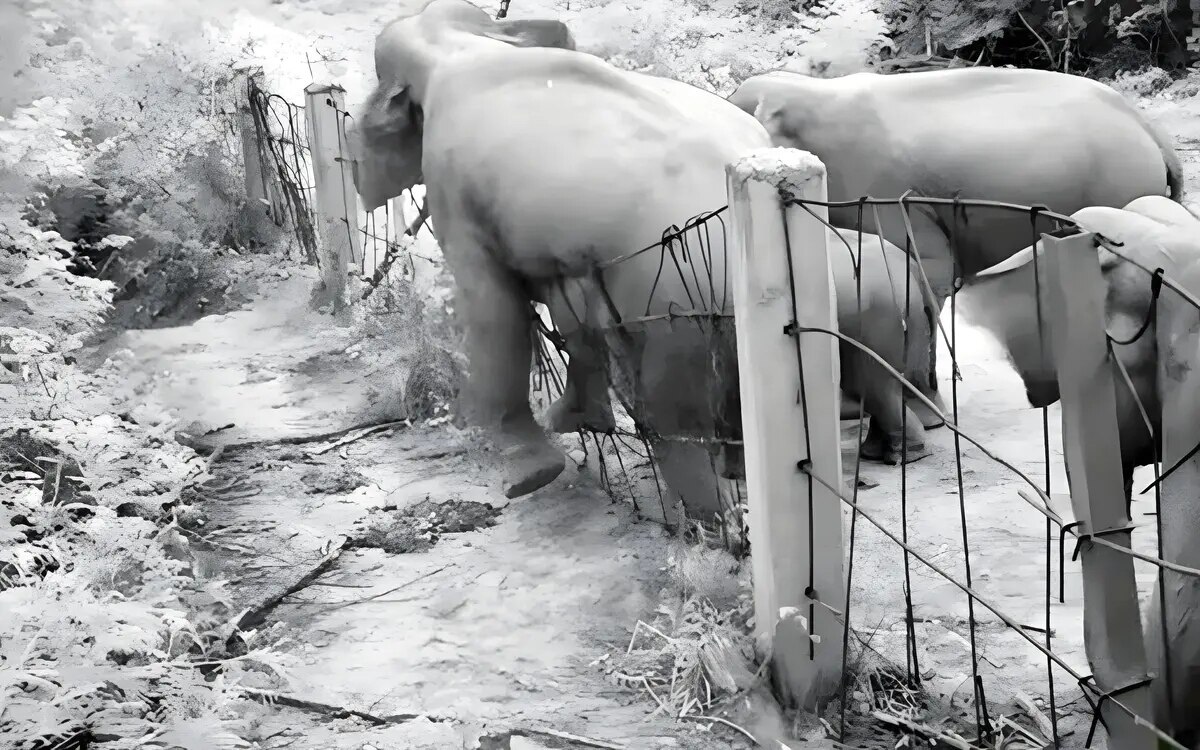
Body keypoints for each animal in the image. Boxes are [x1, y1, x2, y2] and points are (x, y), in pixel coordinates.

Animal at [350, 0, 768, 513]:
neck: (463, 43)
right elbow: (569, 311)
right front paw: (572, 422)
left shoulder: (450, 181)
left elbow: (491, 310)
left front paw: (525, 473)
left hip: (676, 303)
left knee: (673, 420)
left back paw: (710, 521)